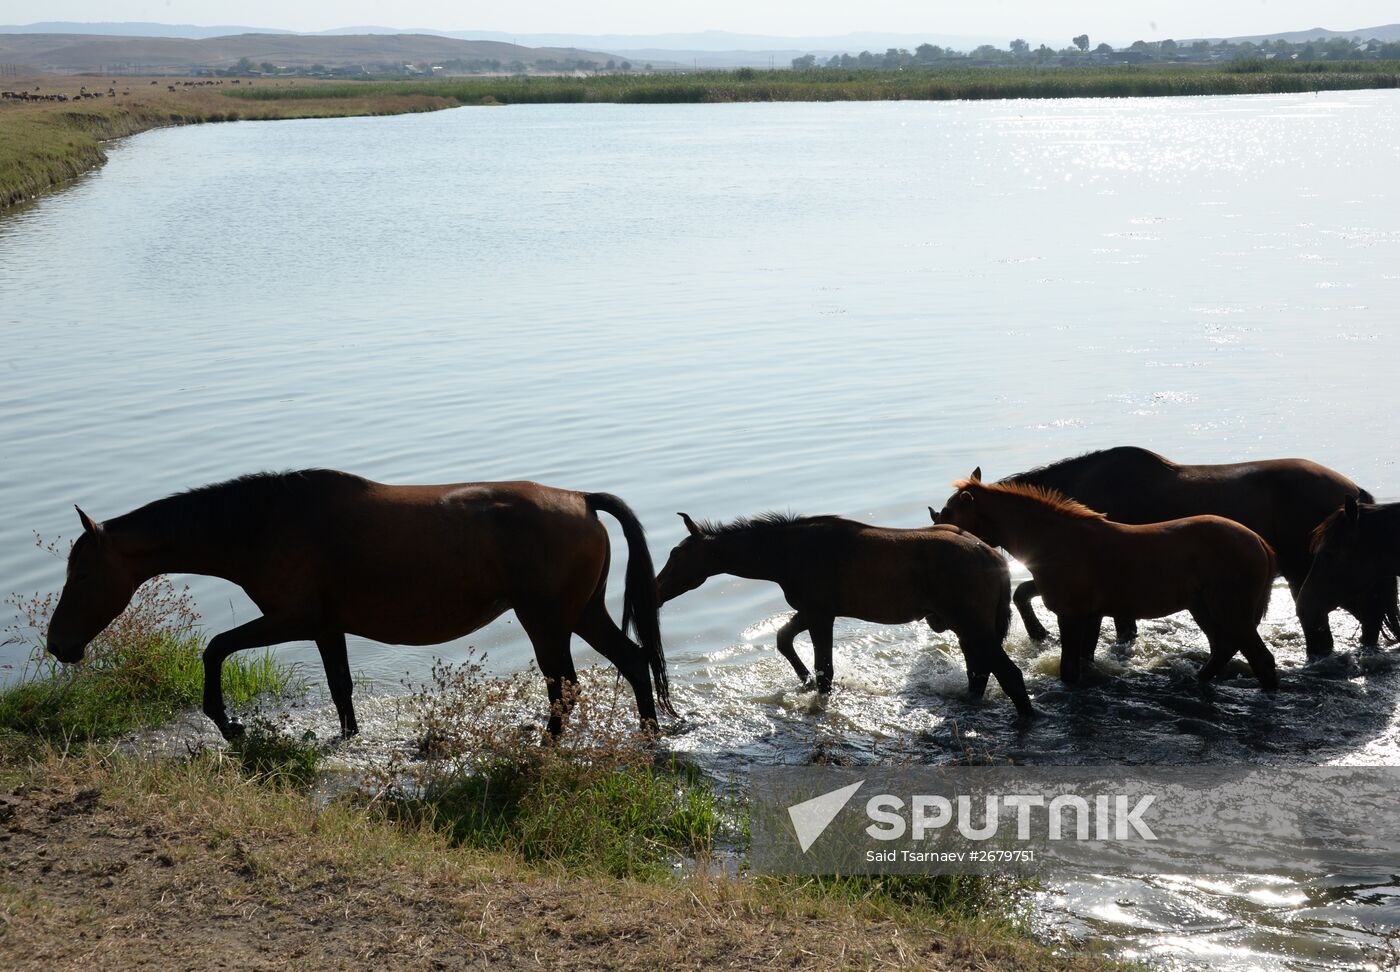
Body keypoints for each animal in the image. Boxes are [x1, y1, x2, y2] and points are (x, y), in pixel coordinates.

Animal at [49, 470, 672, 739]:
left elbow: (215, 648)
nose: (58, 644)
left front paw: (225, 721)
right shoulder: (326, 626)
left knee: (566, 687)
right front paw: (347, 737)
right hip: (581, 614)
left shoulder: (293, 619)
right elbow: (340, 688)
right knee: (633, 662)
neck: (263, 523)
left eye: (82, 571)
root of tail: (581, 499)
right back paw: (649, 731)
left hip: (546, 622)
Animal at [649, 515, 1036, 717]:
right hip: (967, 628)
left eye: (675, 554)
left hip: (972, 625)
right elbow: (784, 640)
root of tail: (995, 558)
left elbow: (825, 671)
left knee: (1009, 675)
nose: (653, 590)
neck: (782, 556)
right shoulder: (812, 611)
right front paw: (802, 679)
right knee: (980, 674)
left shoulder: (820, 614)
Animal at [929, 473, 1282, 691]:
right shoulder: (1091, 615)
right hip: (1203, 608)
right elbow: (1083, 660)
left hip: (1229, 612)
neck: (1058, 539)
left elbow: (1070, 670)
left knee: (1260, 660)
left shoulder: (1071, 615)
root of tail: (1258, 541)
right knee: (1223, 649)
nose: (938, 540)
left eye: (949, 513)